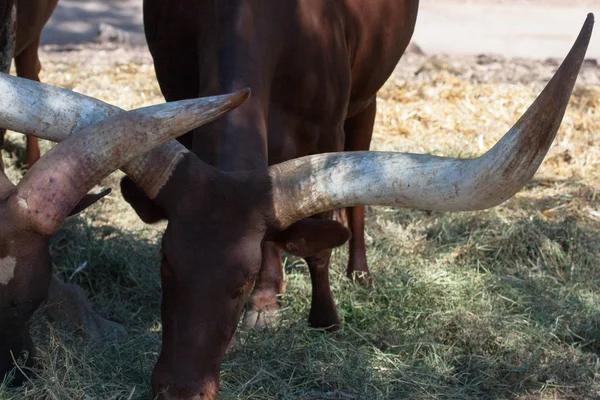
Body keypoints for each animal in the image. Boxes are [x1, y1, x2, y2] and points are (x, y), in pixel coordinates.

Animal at [3, 12, 596, 400]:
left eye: (237, 283)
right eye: (165, 264)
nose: (180, 392)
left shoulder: (327, 126)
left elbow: (318, 243)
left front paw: (322, 318)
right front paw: (270, 301)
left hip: (365, 100)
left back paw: (358, 272)